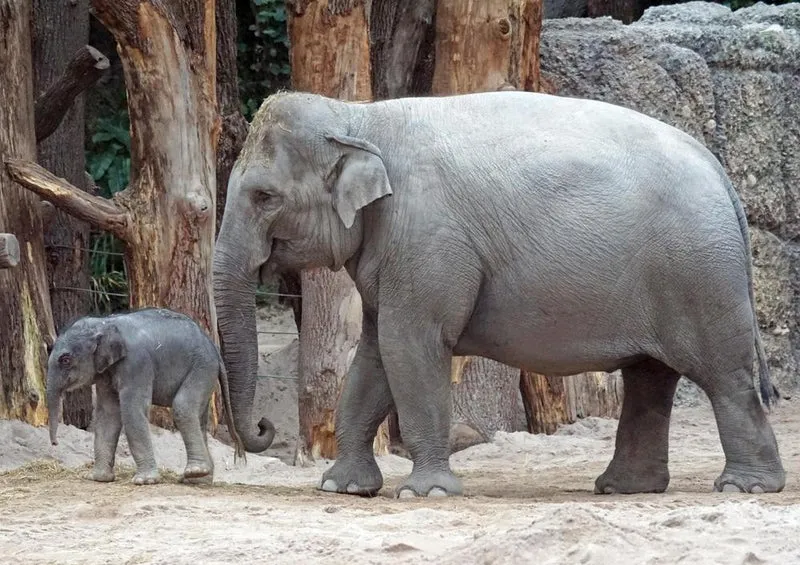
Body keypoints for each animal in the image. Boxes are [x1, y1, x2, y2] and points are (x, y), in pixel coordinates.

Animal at [46, 308, 250, 485]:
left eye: (65, 360)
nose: (55, 443)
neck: (105, 323)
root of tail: (215, 349)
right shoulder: (106, 373)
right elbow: (108, 415)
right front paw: (97, 478)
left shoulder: (137, 363)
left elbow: (131, 412)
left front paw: (144, 481)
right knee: (198, 418)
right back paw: (197, 479)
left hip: (202, 367)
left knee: (182, 407)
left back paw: (195, 472)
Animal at [212, 89, 786, 498]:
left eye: (264, 196)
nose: (261, 426)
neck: (357, 117)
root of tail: (716, 167)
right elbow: (376, 354)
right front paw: (343, 488)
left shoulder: (427, 240)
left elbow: (411, 346)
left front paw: (425, 495)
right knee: (649, 378)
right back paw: (625, 488)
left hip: (700, 273)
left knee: (723, 376)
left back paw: (744, 488)